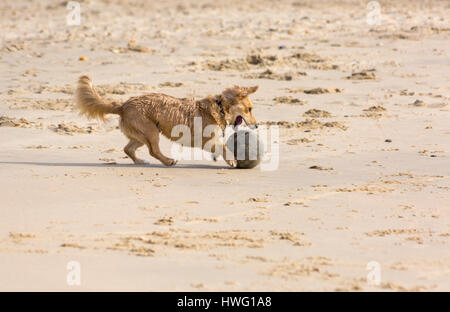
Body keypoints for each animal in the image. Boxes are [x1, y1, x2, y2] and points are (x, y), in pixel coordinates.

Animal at [75, 76, 258, 167]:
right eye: (249, 109)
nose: (257, 126)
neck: (220, 107)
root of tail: (123, 105)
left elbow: (220, 147)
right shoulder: (207, 140)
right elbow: (224, 147)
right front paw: (232, 159)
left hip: (140, 135)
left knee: (128, 149)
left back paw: (140, 162)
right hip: (151, 132)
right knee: (153, 151)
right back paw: (169, 161)